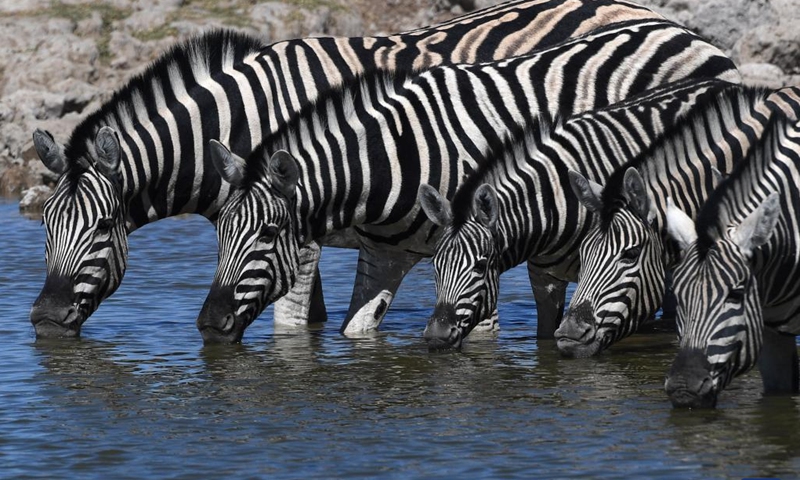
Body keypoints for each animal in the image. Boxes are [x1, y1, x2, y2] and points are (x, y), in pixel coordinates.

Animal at [416, 78, 732, 349]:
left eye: (481, 266)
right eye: (435, 265)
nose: (436, 335)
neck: (551, 201)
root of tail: (722, 82)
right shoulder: (543, 280)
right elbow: (545, 337)